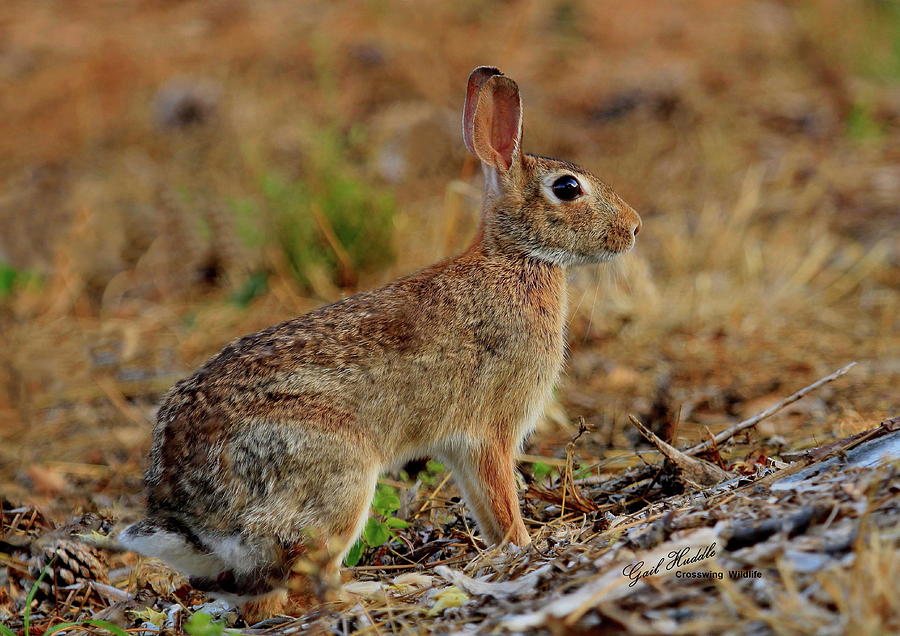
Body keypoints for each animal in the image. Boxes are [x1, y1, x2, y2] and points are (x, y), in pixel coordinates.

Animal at [119, 66, 640, 620]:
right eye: (567, 188)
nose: (633, 228)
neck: (516, 258)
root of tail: (192, 518)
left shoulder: (461, 449)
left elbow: (485, 510)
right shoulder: (491, 433)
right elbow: (503, 499)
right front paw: (530, 545)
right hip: (340, 479)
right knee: (300, 590)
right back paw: (386, 591)